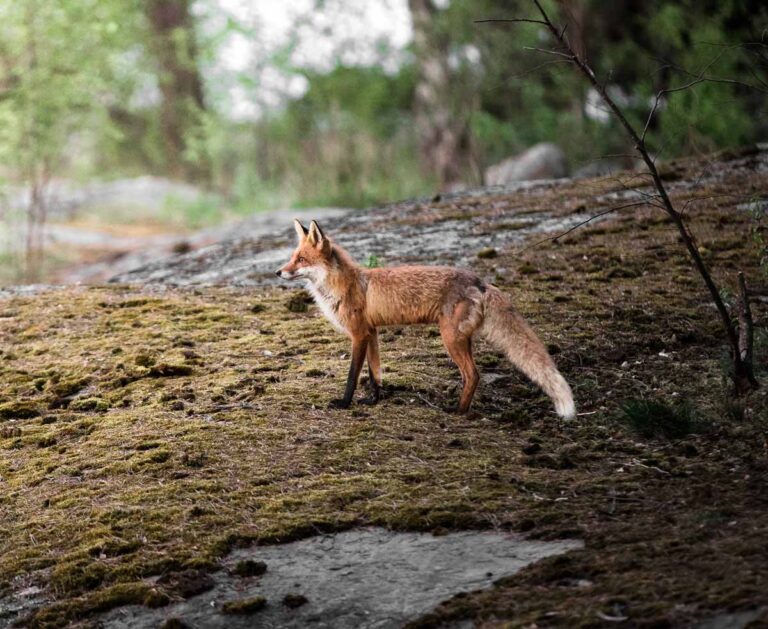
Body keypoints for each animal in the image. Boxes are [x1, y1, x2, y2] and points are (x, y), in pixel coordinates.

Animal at [276, 219, 575, 419]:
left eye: (301, 259)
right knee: (471, 375)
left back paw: (457, 411)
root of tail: (479, 281)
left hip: (450, 338)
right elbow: (375, 374)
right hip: (461, 338)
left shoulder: (359, 334)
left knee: (473, 374)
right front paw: (374, 401)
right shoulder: (372, 332)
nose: (278, 272)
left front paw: (344, 403)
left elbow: (352, 375)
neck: (344, 286)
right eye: (292, 257)